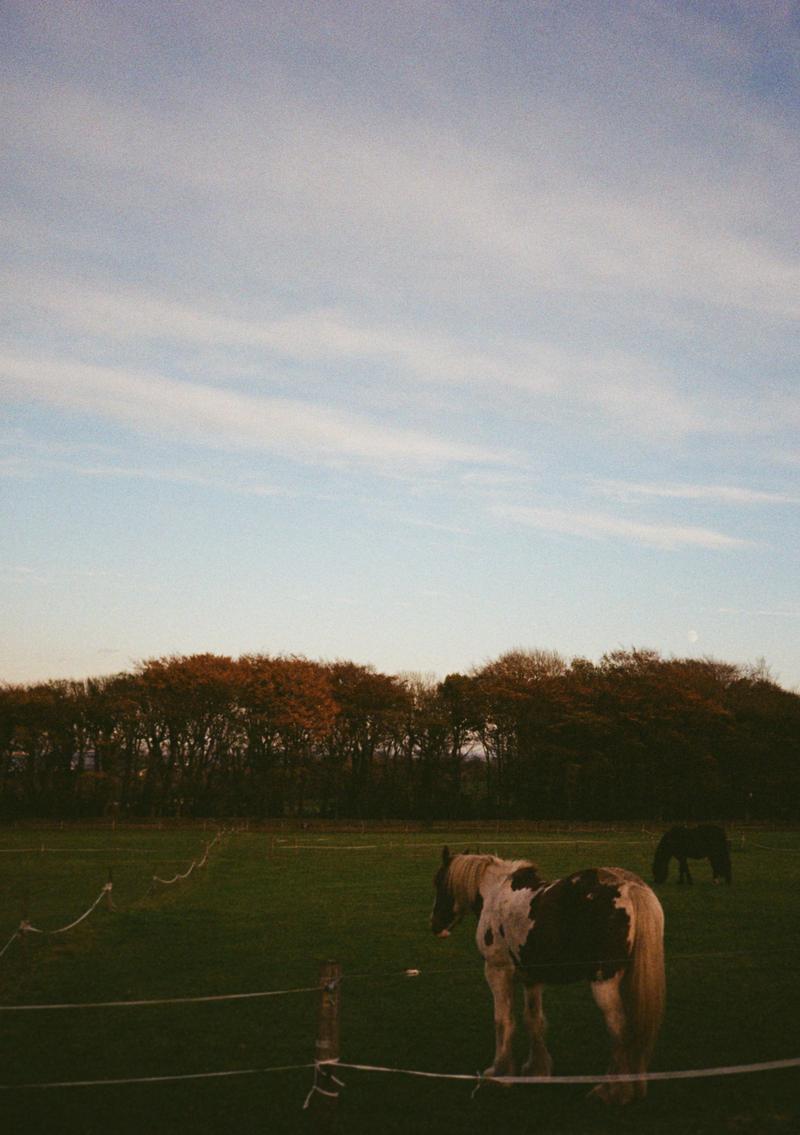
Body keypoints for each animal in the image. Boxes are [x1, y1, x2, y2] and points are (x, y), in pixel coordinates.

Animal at [430, 847, 665, 1104]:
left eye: (439, 882)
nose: (435, 926)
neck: (495, 894)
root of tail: (630, 887)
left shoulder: (496, 971)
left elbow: (503, 1021)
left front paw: (499, 1073)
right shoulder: (532, 979)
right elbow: (534, 1020)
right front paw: (536, 1070)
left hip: (604, 982)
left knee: (620, 1031)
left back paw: (613, 1091)